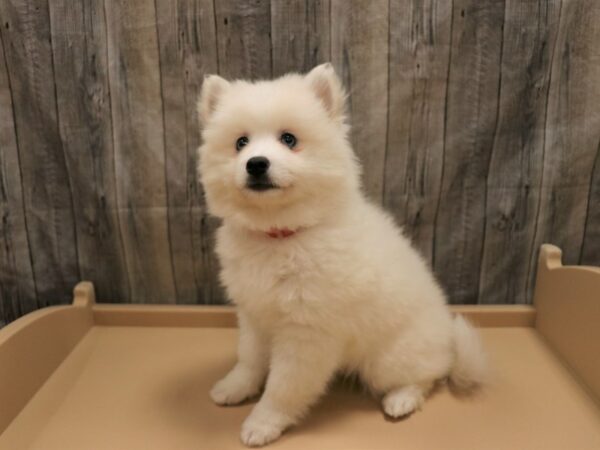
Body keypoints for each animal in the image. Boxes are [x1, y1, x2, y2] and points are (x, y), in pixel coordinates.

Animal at [198, 63, 488, 446]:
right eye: (240, 143)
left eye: (288, 139)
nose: (256, 163)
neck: (282, 236)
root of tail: (450, 345)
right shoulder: (254, 315)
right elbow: (249, 360)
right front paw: (235, 388)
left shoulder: (306, 334)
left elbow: (283, 387)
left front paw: (263, 423)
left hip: (388, 360)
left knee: (427, 377)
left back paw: (402, 399)